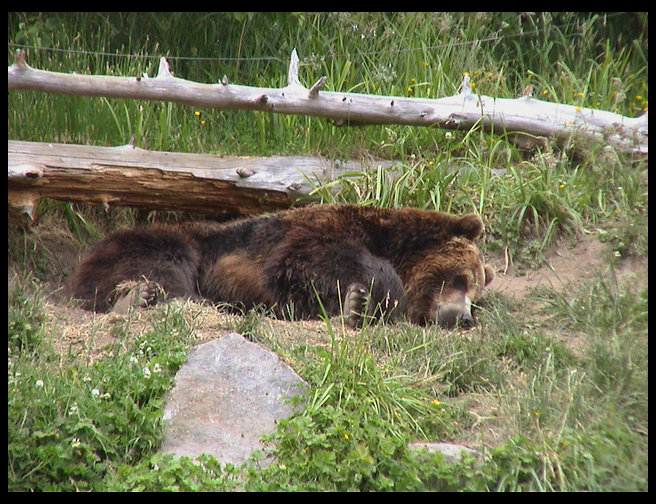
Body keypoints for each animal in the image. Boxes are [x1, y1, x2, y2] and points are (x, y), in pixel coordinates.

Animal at [68, 204, 494, 328]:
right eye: (460, 278)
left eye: (477, 295)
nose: (462, 317)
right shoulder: (315, 231)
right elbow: (310, 258)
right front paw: (363, 298)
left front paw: (355, 305)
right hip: (169, 241)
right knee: (168, 262)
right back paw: (144, 298)